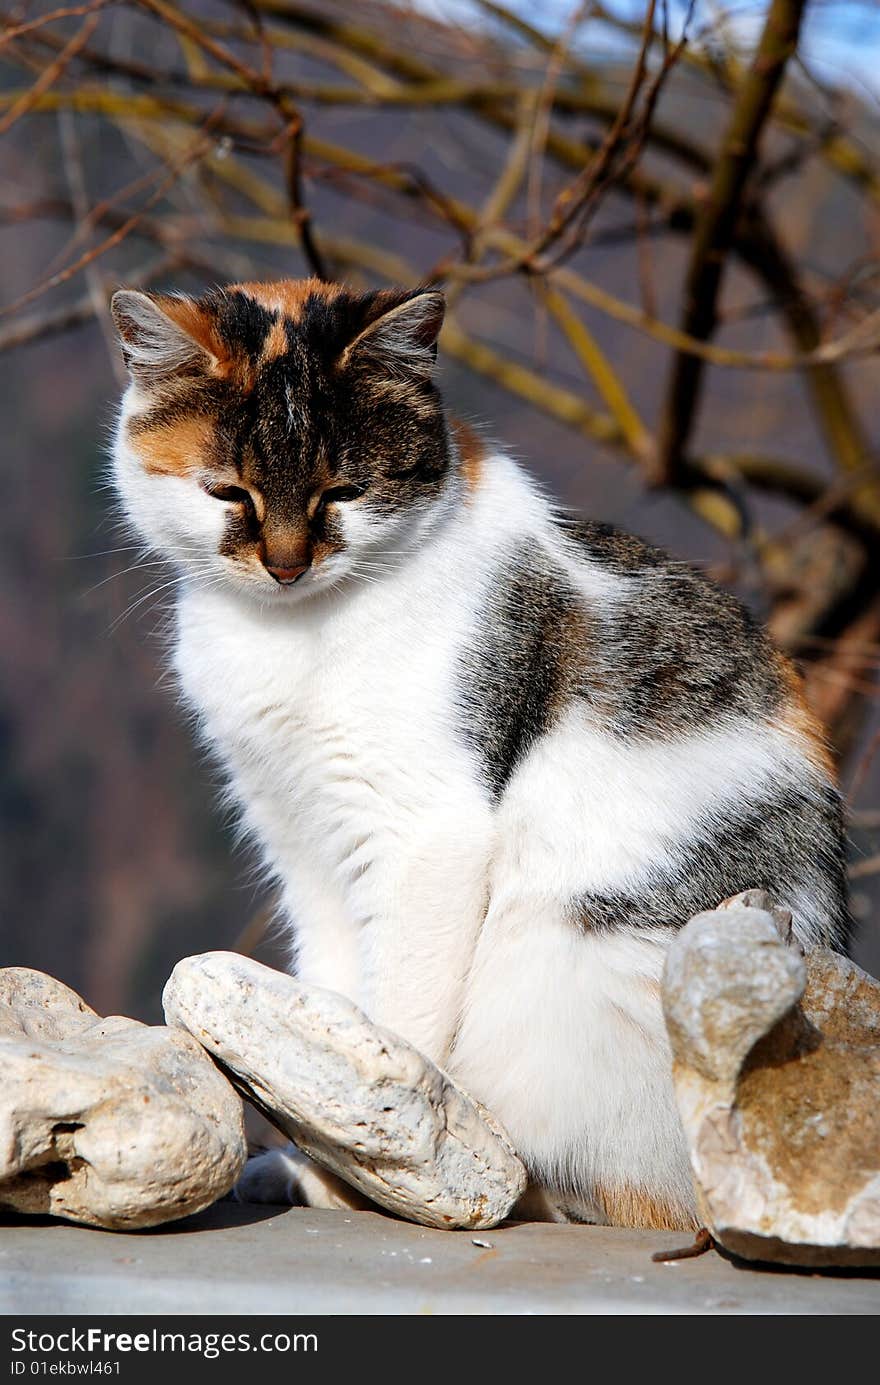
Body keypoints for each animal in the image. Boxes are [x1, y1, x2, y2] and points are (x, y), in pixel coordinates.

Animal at [108, 275, 848, 1229]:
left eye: (343, 491)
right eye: (228, 493)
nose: (286, 565)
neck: (291, 632)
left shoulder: (426, 833)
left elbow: (400, 1027)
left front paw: (354, 1176)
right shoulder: (303, 841)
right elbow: (336, 1000)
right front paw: (313, 1156)